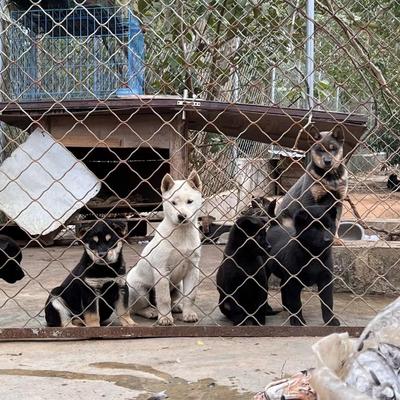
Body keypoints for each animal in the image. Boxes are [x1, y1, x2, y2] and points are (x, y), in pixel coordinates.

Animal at [127, 170, 203, 326]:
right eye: (173, 203)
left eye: (190, 201)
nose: (181, 216)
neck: (181, 232)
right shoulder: (162, 270)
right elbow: (163, 298)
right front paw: (165, 318)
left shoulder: (193, 269)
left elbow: (190, 296)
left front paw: (189, 314)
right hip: (138, 290)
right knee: (138, 308)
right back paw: (151, 312)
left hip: (178, 286)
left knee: (173, 299)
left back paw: (176, 307)